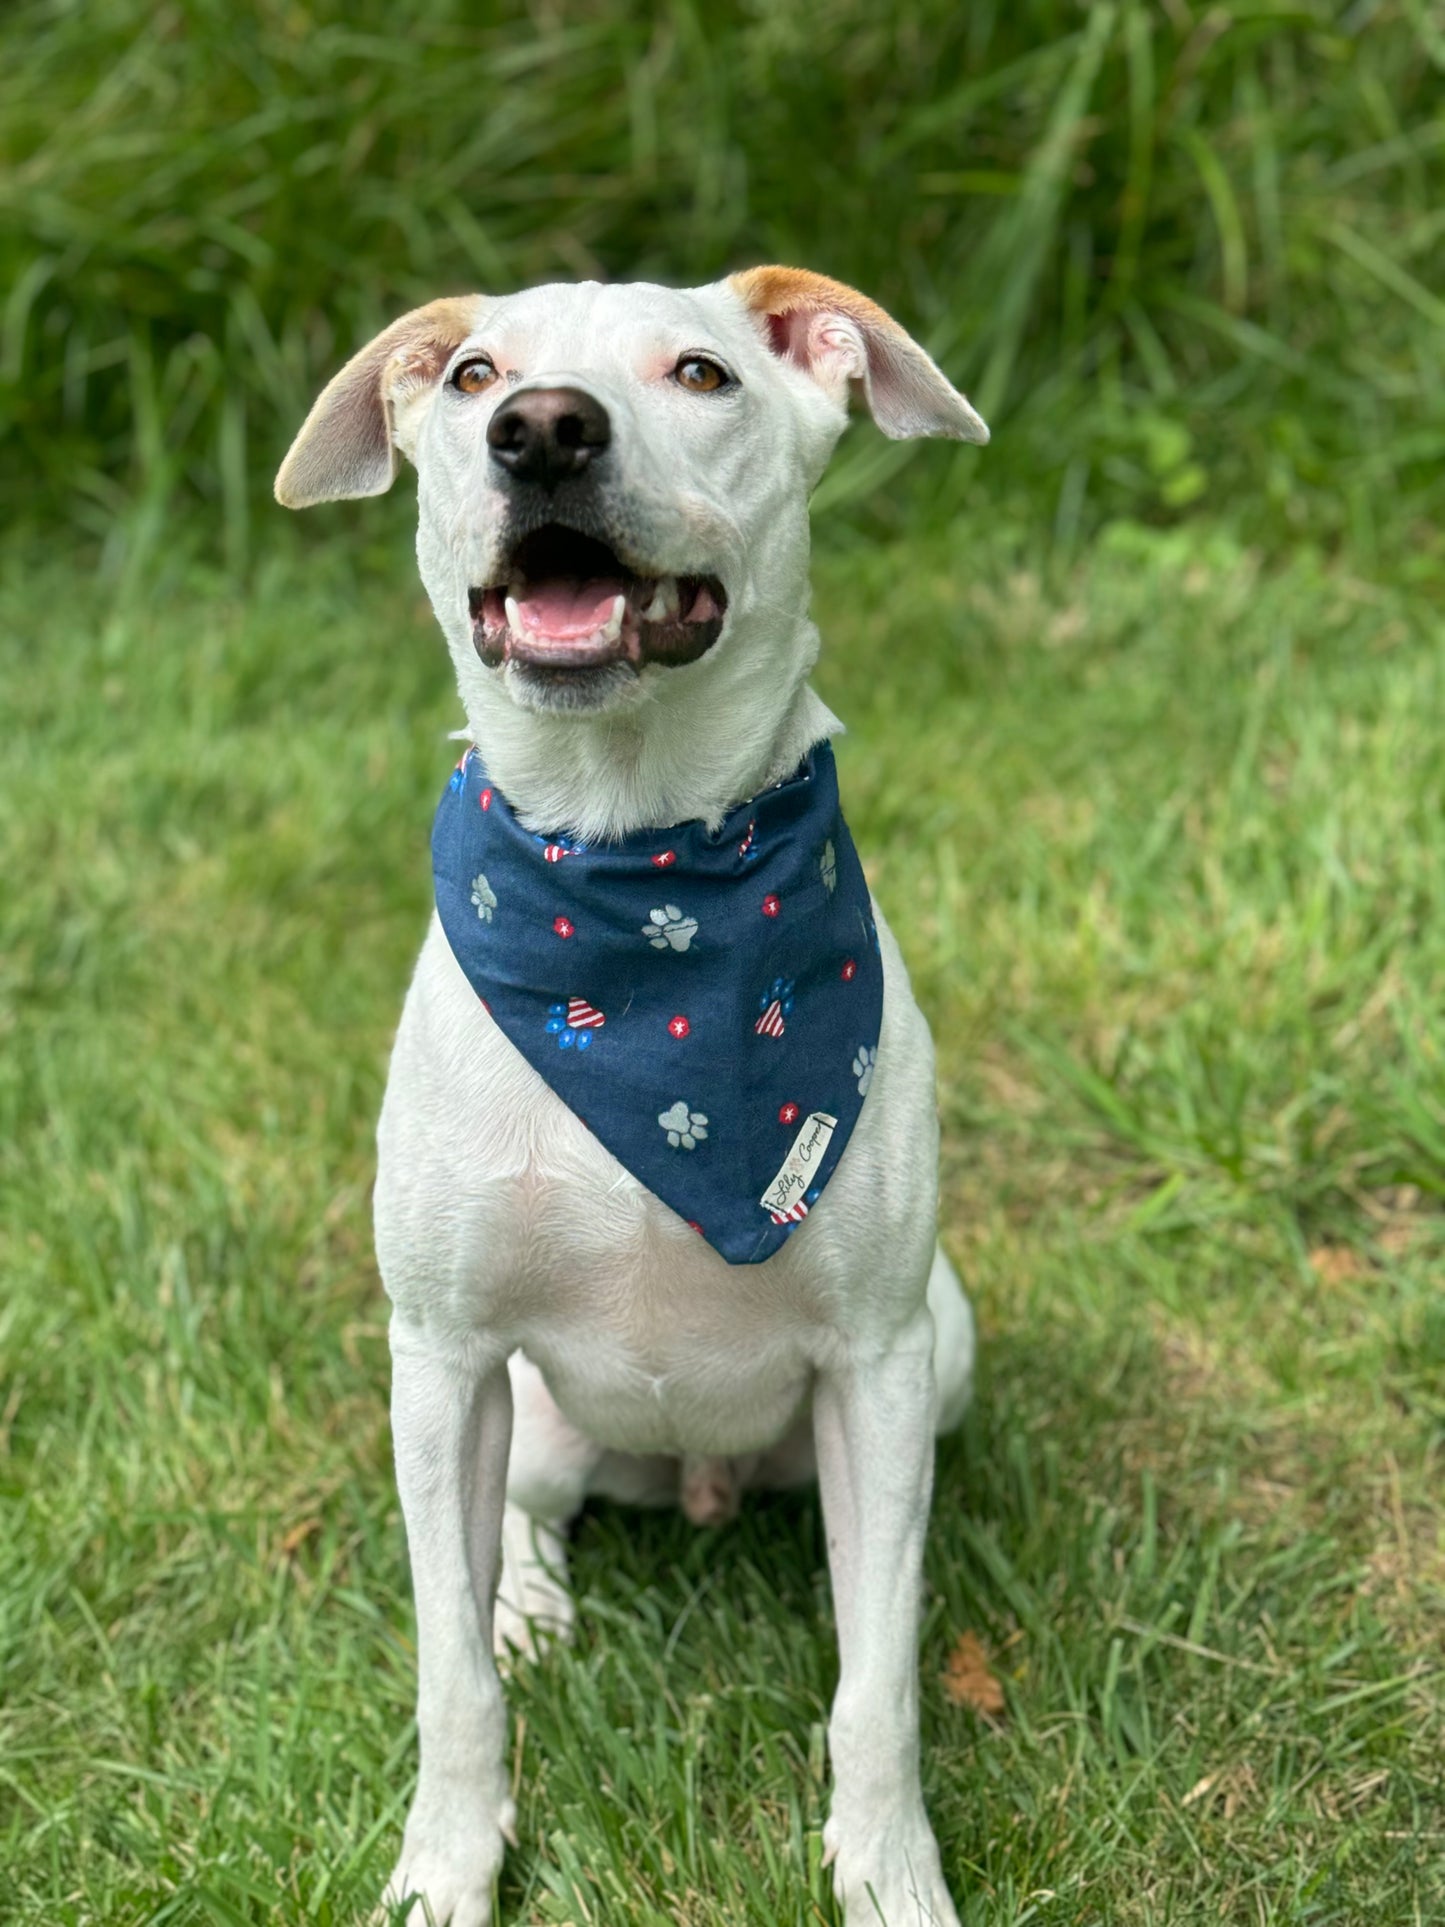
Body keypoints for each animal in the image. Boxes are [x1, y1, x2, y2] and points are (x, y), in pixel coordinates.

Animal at [277, 263, 994, 1919]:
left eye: (701, 372)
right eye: (473, 374)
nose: (543, 430)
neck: (637, 890)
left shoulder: (878, 1359)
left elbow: (877, 1687)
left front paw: (889, 1869)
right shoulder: (442, 1356)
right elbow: (449, 1671)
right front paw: (447, 1863)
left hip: (945, 1345)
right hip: (529, 1412)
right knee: (521, 1528)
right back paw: (534, 1604)